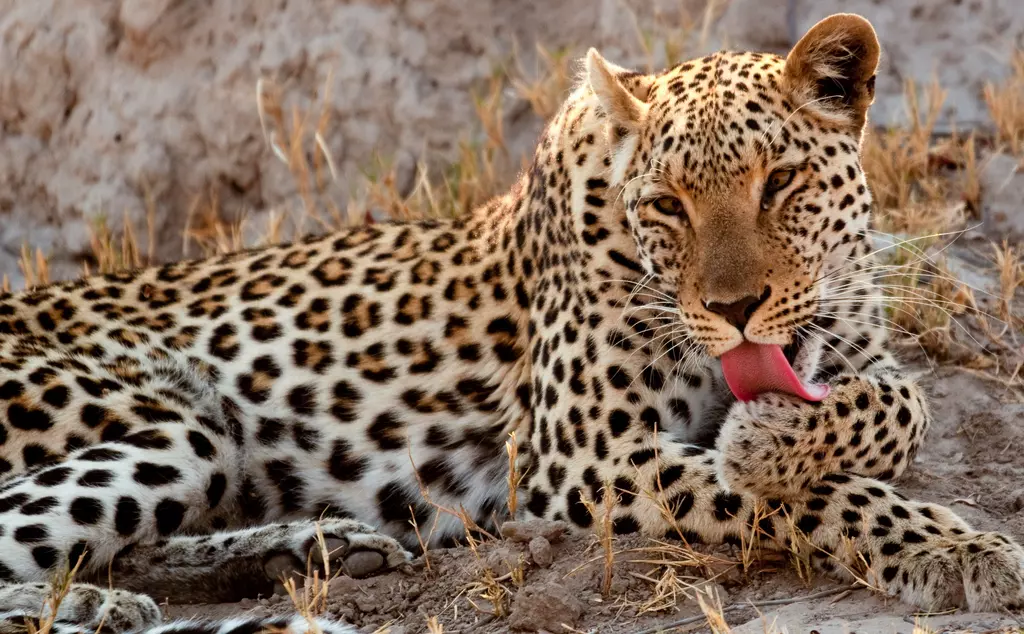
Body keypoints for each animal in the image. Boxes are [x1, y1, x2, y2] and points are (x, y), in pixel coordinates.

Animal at [0, 14, 1019, 634]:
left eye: (781, 183)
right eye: (669, 206)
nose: (733, 311)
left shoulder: (863, 354)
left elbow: (902, 407)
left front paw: (771, 439)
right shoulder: (590, 455)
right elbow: (813, 496)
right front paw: (955, 548)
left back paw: (323, 546)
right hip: (180, 429)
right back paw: (105, 606)